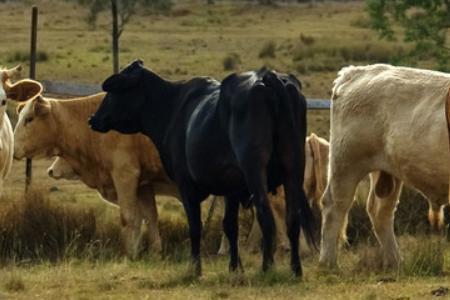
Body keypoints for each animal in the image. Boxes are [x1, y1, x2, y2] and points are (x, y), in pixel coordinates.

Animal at [8, 79, 178, 258]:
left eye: (29, 119)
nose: (13, 149)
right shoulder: (144, 184)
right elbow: (149, 218)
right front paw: (155, 254)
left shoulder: (125, 175)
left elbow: (129, 218)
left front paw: (130, 256)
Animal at [89, 60, 314, 276]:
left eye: (113, 91)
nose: (93, 118)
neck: (172, 108)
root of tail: (268, 77)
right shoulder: (232, 188)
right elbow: (230, 226)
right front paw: (235, 267)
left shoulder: (186, 185)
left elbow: (195, 227)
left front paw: (195, 268)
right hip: (294, 168)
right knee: (293, 219)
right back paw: (296, 269)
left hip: (255, 170)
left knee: (266, 215)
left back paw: (267, 268)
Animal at [320, 63, 450, 270]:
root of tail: (356, 71)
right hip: (346, 165)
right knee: (335, 206)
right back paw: (328, 262)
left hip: (387, 172)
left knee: (380, 211)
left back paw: (395, 261)